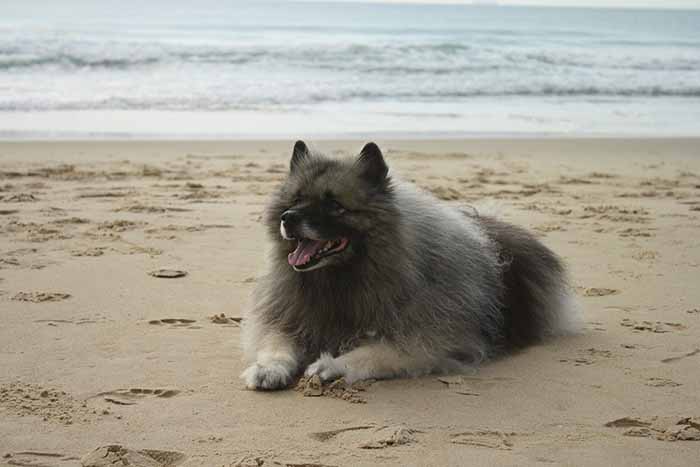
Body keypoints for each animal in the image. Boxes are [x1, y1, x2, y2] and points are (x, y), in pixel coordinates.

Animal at [241, 142, 580, 392]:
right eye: (295, 200)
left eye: (334, 205)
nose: (288, 218)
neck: (342, 278)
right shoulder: (288, 316)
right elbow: (276, 342)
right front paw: (267, 368)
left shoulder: (433, 340)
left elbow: (377, 351)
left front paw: (333, 364)